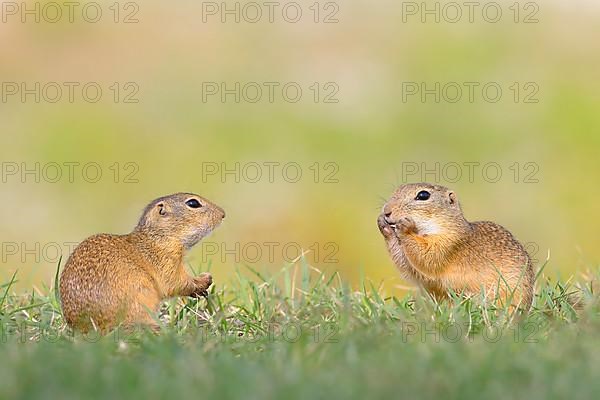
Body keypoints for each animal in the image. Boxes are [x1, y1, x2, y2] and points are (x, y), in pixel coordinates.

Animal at [60, 192, 225, 332]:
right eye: (193, 203)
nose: (223, 213)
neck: (157, 237)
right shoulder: (166, 261)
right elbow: (175, 283)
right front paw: (204, 280)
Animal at [378, 183, 536, 310]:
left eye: (423, 195)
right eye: (397, 190)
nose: (386, 211)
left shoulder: (448, 244)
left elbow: (428, 258)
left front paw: (405, 228)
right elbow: (410, 267)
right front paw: (384, 226)